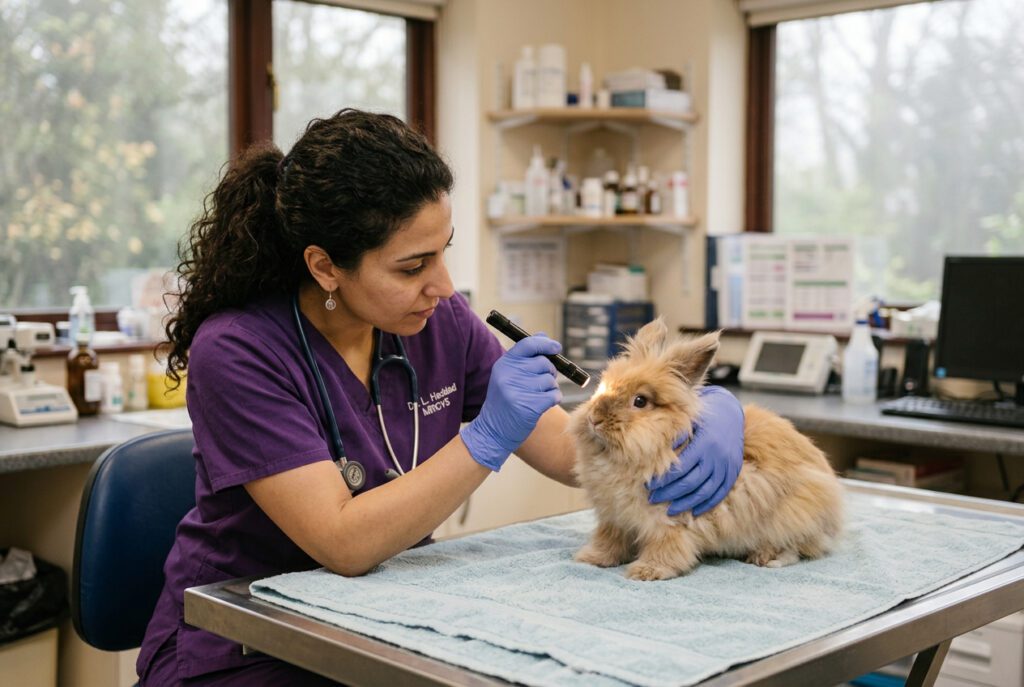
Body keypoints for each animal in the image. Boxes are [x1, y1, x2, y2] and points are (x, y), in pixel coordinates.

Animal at [569, 319, 844, 581]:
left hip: (794, 515)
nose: (594, 419)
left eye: (640, 401)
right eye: (603, 386)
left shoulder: (670, 518)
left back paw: (766, 556)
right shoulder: (614, 519)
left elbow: (666, 546)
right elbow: (609, 541)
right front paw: (591, 558)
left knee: (799, 547)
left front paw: (648, 571)